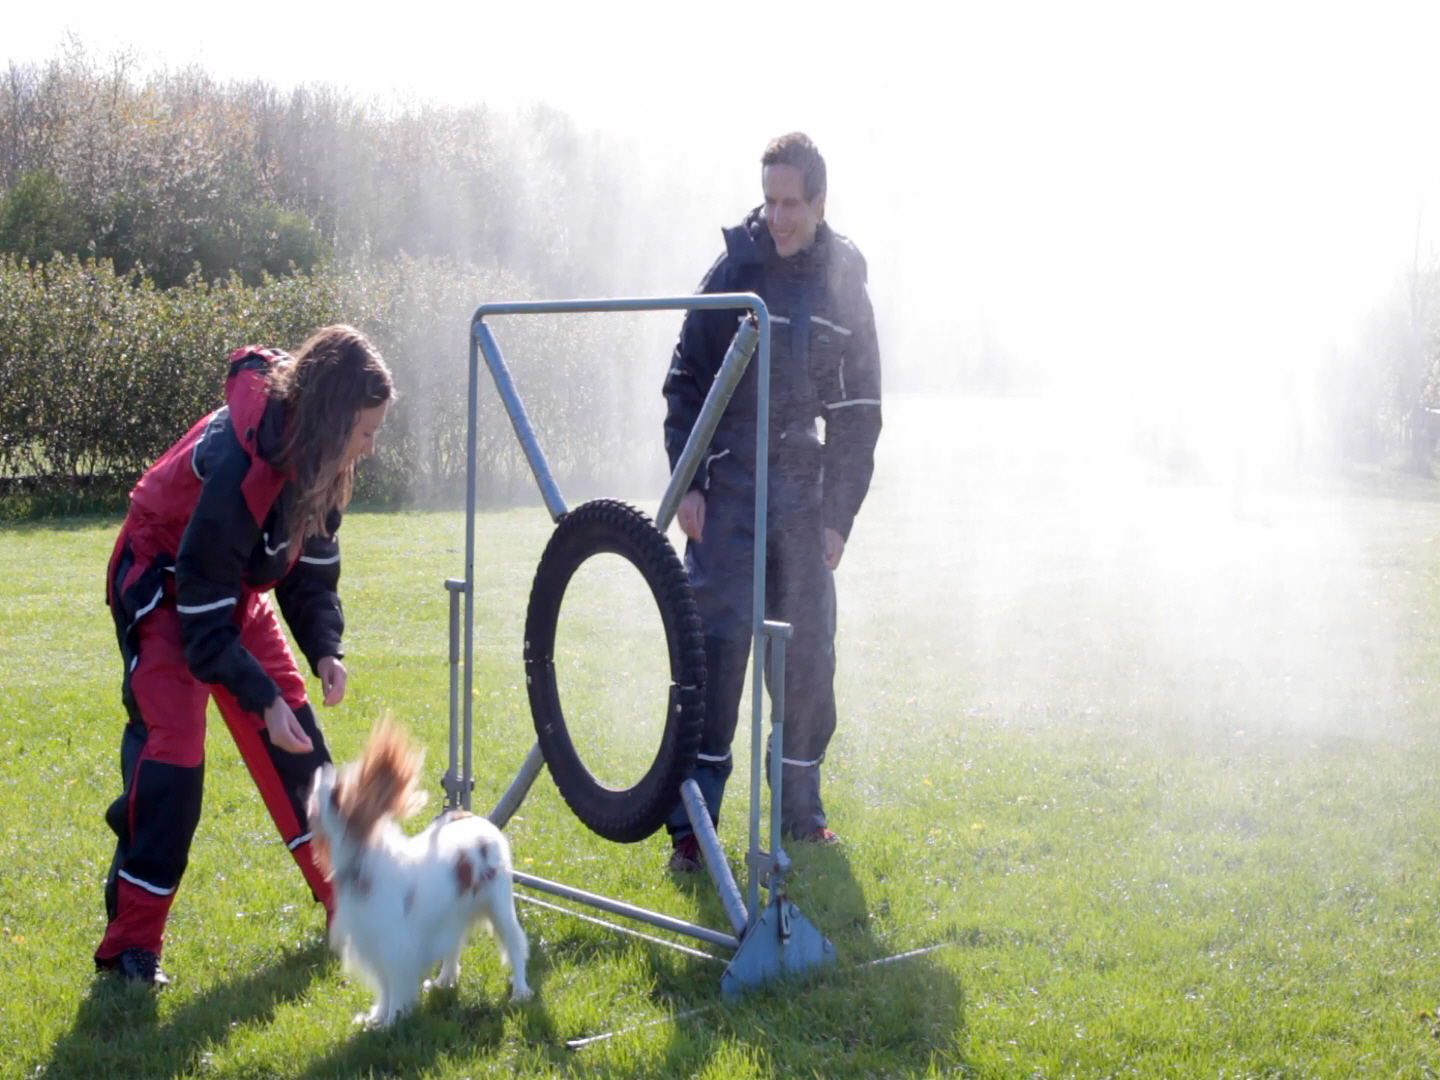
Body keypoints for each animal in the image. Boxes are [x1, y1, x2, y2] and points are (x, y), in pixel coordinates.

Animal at [306, 718, 532, 1027]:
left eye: (336, 795)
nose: (321, 772)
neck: (363, 858)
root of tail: (474, 819)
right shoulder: (375, 947)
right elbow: (384, 988)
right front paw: (376, 1019)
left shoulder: (396, 949)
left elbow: (396, 987)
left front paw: (392, 1021)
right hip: (454, 913)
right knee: (454, 945)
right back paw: (444, 981)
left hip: (498, 905)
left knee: (515, 945)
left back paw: (520, 992)